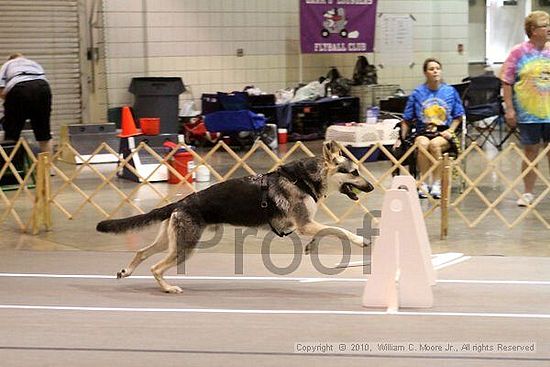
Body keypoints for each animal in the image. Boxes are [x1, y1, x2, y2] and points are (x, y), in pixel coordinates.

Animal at [98, 141, 376, 294]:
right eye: (354, 172)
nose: (372, 187)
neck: (305, 179)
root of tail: (181, 202)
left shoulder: (305, 225)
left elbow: (324, 232)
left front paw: (310, 247)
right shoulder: (306, 224)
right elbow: (338, 230)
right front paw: (360, 241)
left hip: (170, 241)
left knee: (142, 252)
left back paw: (126, 271)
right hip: (184, 247)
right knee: (156, 267)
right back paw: (168, 288)